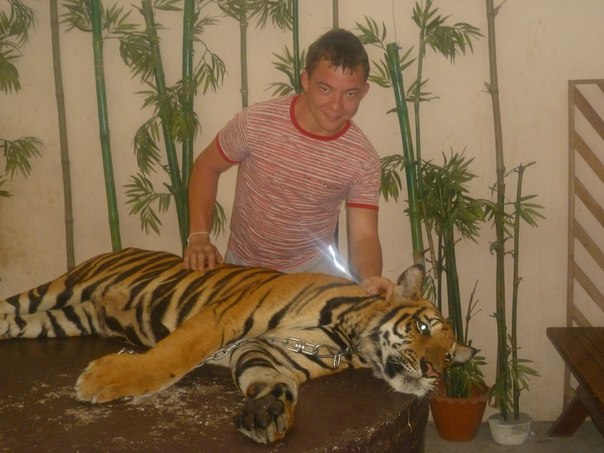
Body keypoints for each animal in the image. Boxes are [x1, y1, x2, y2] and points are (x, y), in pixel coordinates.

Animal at [0, 247, 475, 444]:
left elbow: (266, 378)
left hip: (58, 319)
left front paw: (267, 413)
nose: (433, 372)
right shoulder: (222, 318)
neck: (348, 341)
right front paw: (108, 378)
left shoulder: (269, 351)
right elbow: (173, 355)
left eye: (450, 358)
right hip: (60, 289)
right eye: (424, 326)